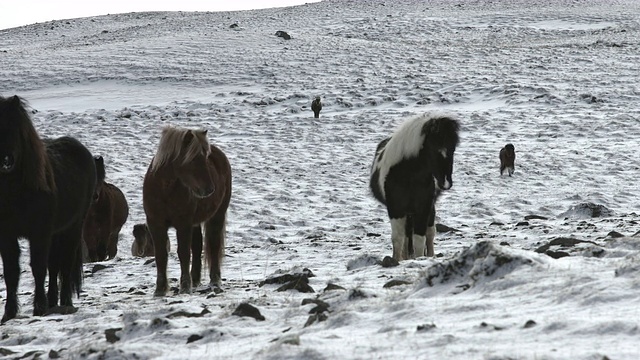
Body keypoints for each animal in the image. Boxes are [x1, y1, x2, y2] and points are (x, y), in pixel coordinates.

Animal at [0, 95, 96, 320]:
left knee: (65, 264)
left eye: (16, 128)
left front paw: (39, 308)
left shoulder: (39, 233)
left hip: (72, 228)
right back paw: (53, 301)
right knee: (55, 266)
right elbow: (11, 272)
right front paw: (9, 313)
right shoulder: (7, 235)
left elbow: (38, 267)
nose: (6, 161)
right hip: (56, 233)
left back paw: (65, 301)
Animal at [143, 126, 232, 296]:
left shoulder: (183, 224)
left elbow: (183, 253)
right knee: (197, 246)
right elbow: (161, 255)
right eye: (193, 159)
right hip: (195, 223)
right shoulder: (155, 224)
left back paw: (214, 281)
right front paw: (160, 290)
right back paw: (195, 280)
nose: (210, 189)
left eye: (205, 158)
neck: (165, 190)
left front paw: (184, 287)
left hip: (217, 216)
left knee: (214, 245)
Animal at [370, 111, 460, 260]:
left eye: (453, 149)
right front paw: (397, 260)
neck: (409, 175)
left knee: (429, 234)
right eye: (432, 147)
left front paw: (420, 259)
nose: (445, 182)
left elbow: (419, 239)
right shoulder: (395, 209)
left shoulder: (423, 208)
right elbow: (398, 238)